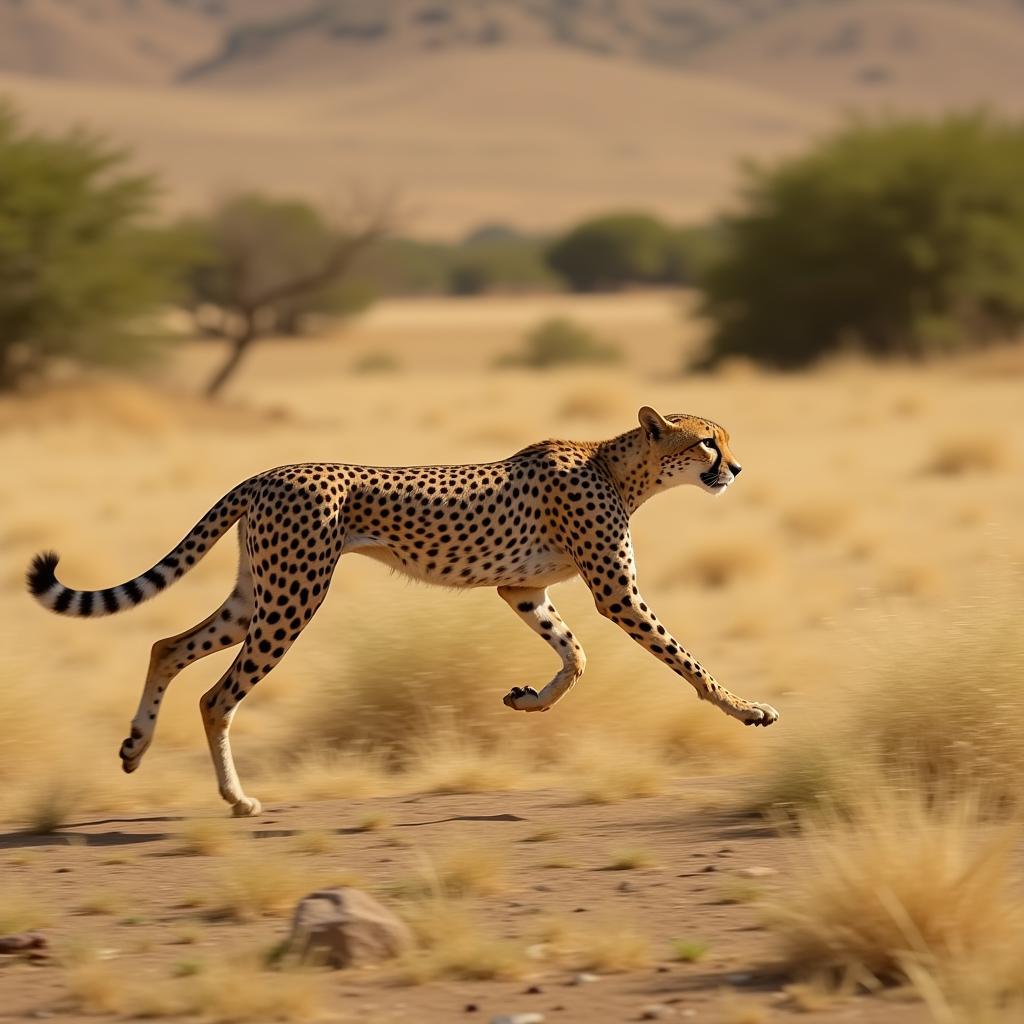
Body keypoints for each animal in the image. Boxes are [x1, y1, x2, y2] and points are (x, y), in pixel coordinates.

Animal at [28, 405, 778, 815]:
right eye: (708, 442)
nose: (737, 470)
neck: (618, 467)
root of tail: (268, 472)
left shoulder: (523, 590)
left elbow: (574, 655)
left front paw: (527, 700)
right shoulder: (616, 591)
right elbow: (683, 659)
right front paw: (747, 709)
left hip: (256, 594)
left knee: (167, 646)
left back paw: (135, 748)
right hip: (294, 597)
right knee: (217, 696)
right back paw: (237, 800)